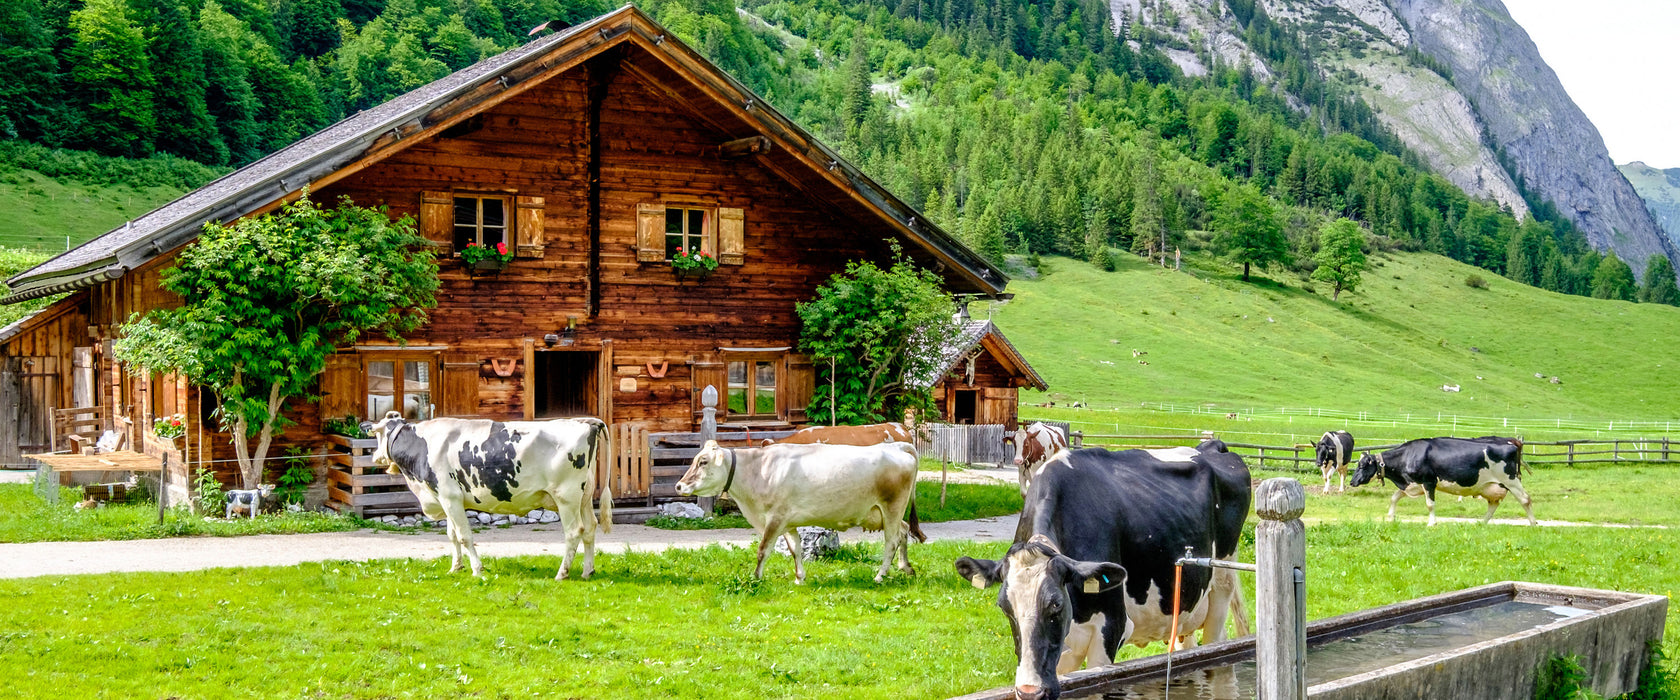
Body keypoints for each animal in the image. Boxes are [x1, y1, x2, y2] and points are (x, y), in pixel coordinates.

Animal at [364, 409, 614, 577]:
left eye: (376, 435)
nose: (374, 456)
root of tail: (586, 422)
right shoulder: (447, 498)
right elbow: (452, 535)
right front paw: (455, 567)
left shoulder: (449, 496)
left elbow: (464, 536)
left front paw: (477, 569)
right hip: (584, 497)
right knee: (590, 528)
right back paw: (587, 571)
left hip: (566, 497)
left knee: (574, 531)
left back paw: (562, 574)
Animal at [675, 439, 927, 580]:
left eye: (703, 461)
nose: (679, 485)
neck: (759, 470)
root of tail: (896, 446)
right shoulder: (788, 522)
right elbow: (795, 549)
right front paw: (799, 577)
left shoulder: (775, 518)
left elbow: (763, 549)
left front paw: (756, 577)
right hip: (886, 513)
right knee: (904, 531)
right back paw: (906, 567)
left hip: (892, 507)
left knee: (891, 541)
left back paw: (880, 576)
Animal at [960, 443, 1249, 698]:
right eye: (1004, 607)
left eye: (1056, 604)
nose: (1030, 691)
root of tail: (1213, 446)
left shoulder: (1111, 628)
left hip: (1221, 585)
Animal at [1350, 433, 1538, 527]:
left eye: (1363, 465)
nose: (1352, 482)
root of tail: (1510, 443)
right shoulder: (1412, 484)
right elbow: (1394, 497)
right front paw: (1391, 518)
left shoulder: (1429, 482)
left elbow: (1430, 504)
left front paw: (1431, 524)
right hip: (1490, 485)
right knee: (1493, 503)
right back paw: (1481, 523)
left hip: (1511, 480)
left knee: (1525, 499)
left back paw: (1533, 523)